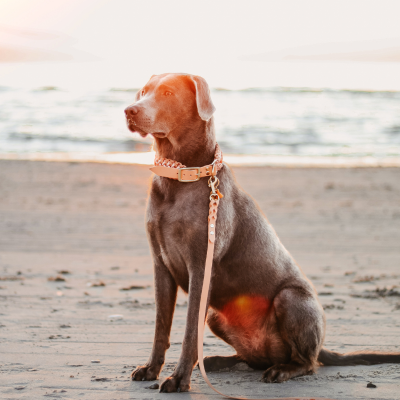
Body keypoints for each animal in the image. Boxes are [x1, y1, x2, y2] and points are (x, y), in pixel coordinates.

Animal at [125, 73, 400, 392]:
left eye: (168, 93)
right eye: (143, 91)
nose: (129, 110)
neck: (181, 175)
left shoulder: (201, 269)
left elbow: (190, 332)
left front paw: (179, 378)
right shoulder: (161, 267)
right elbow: (161, 327)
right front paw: (151, 369)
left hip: (291, 299)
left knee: (307, 363)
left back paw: (281, 370)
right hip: (218, 317)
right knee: (254, 358)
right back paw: (219, 361)